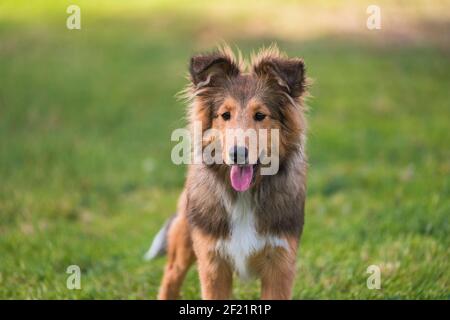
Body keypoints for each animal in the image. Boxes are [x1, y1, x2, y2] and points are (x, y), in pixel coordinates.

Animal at [147, 45, 310, 300]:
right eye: (225, 115)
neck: (244, 196)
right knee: (171, 277)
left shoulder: (280, 261)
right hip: (185, 239)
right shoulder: (213, 262)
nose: (237, 154)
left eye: (260, 115)